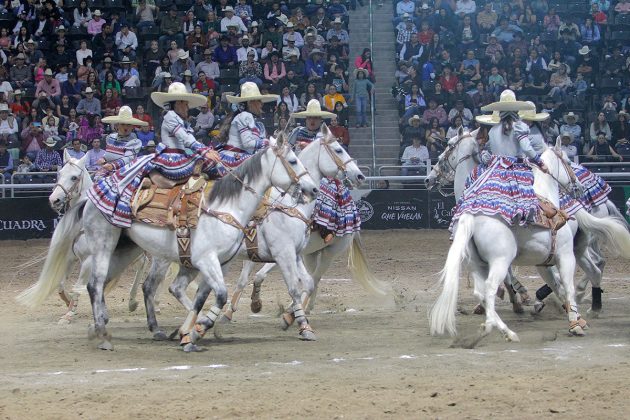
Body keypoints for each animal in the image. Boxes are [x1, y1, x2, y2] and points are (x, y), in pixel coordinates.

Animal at [430, 135, 630, 342]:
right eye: (567, 161)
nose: (429, 178)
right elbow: (561, 285)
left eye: (447, 149)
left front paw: (525, 300)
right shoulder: (555, 257)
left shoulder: (552, 257)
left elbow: (555, 284)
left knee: (596, 267)